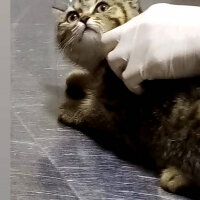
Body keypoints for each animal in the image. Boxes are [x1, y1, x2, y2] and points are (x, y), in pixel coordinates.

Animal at [52, 0, 200, 195]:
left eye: (102, 7)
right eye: (72, 16)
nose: (83, 18)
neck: (100, 64)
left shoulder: (120, 116)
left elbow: (92, 113)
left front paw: (71, 108)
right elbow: (91, 83)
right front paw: (78, 78)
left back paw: (176, 177)